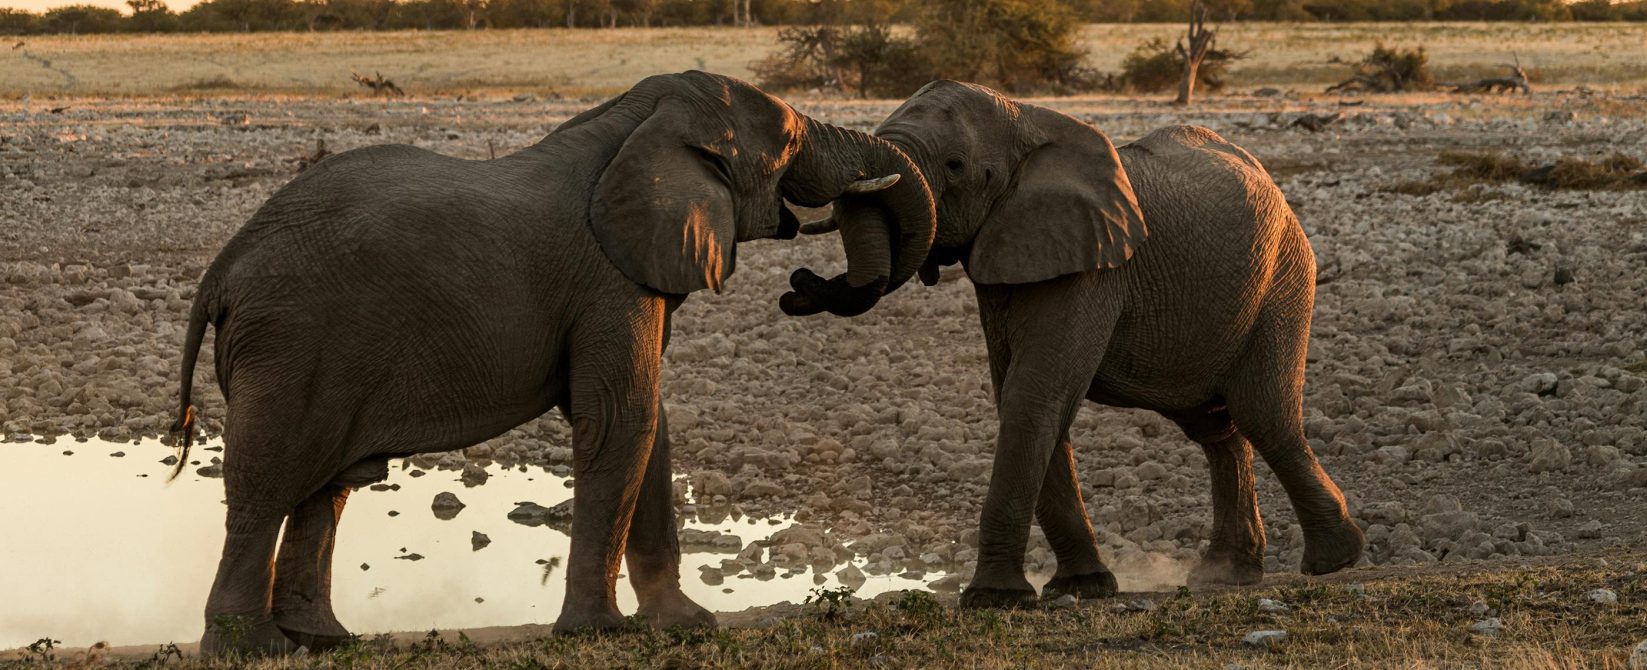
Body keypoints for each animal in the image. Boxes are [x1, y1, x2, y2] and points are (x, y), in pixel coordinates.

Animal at [167, 71, 936, 655]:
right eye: (792, 142)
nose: (804, 285)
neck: (635, 122)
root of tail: (222, 269)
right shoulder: (607, 277)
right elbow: (619, 421)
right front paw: (599, 634)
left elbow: (648, 424)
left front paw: (686, 626)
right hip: (291, 343)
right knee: (269, 483)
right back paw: (251, 649)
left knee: (326, 486)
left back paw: (324, 641)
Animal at [788, 80, 1364, 606]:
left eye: (955, 166)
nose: (797, 287)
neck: (1023, 119)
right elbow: (1029, 401)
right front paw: (1083, 587)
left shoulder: (1090, 268)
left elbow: (1034, 395)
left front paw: (993, 598)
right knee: (1217, 427)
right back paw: (1225, 576)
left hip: (1284, 275)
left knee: (1262, 414)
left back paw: (1335, 560)